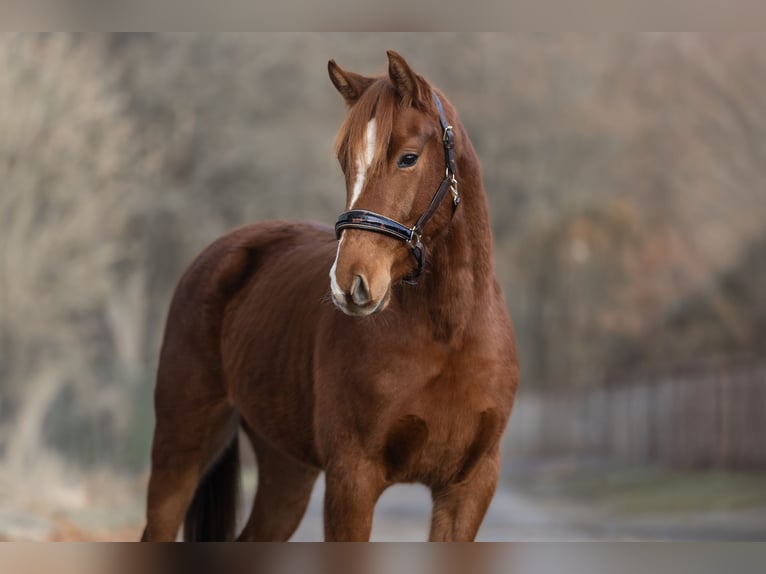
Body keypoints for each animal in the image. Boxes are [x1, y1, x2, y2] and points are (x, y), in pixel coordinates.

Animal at [141, 50, 520, 542]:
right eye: (344, 161)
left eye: (408, 158)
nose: (350, 282)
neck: (448, 335)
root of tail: (219, 253)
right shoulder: (353, 478)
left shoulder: (468, 488)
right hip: (182, 446)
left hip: (286, 470)